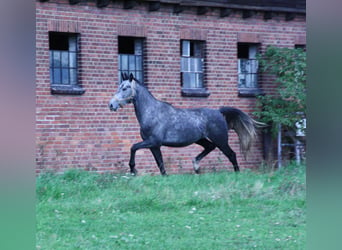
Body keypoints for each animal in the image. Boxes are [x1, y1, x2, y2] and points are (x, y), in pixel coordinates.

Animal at [109, 73, 262, 176]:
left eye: (125, 88)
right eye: (119, 87)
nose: (111, 105)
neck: (152, 112)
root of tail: (219, 112)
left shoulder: (153, 141)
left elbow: (133, 147)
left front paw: (133, 169)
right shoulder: (154, 146)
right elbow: (160, 164)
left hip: (221, 140)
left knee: (231, 155)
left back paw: (236, 174)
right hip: (201, 139)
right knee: (210, 147)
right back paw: (196, 166)